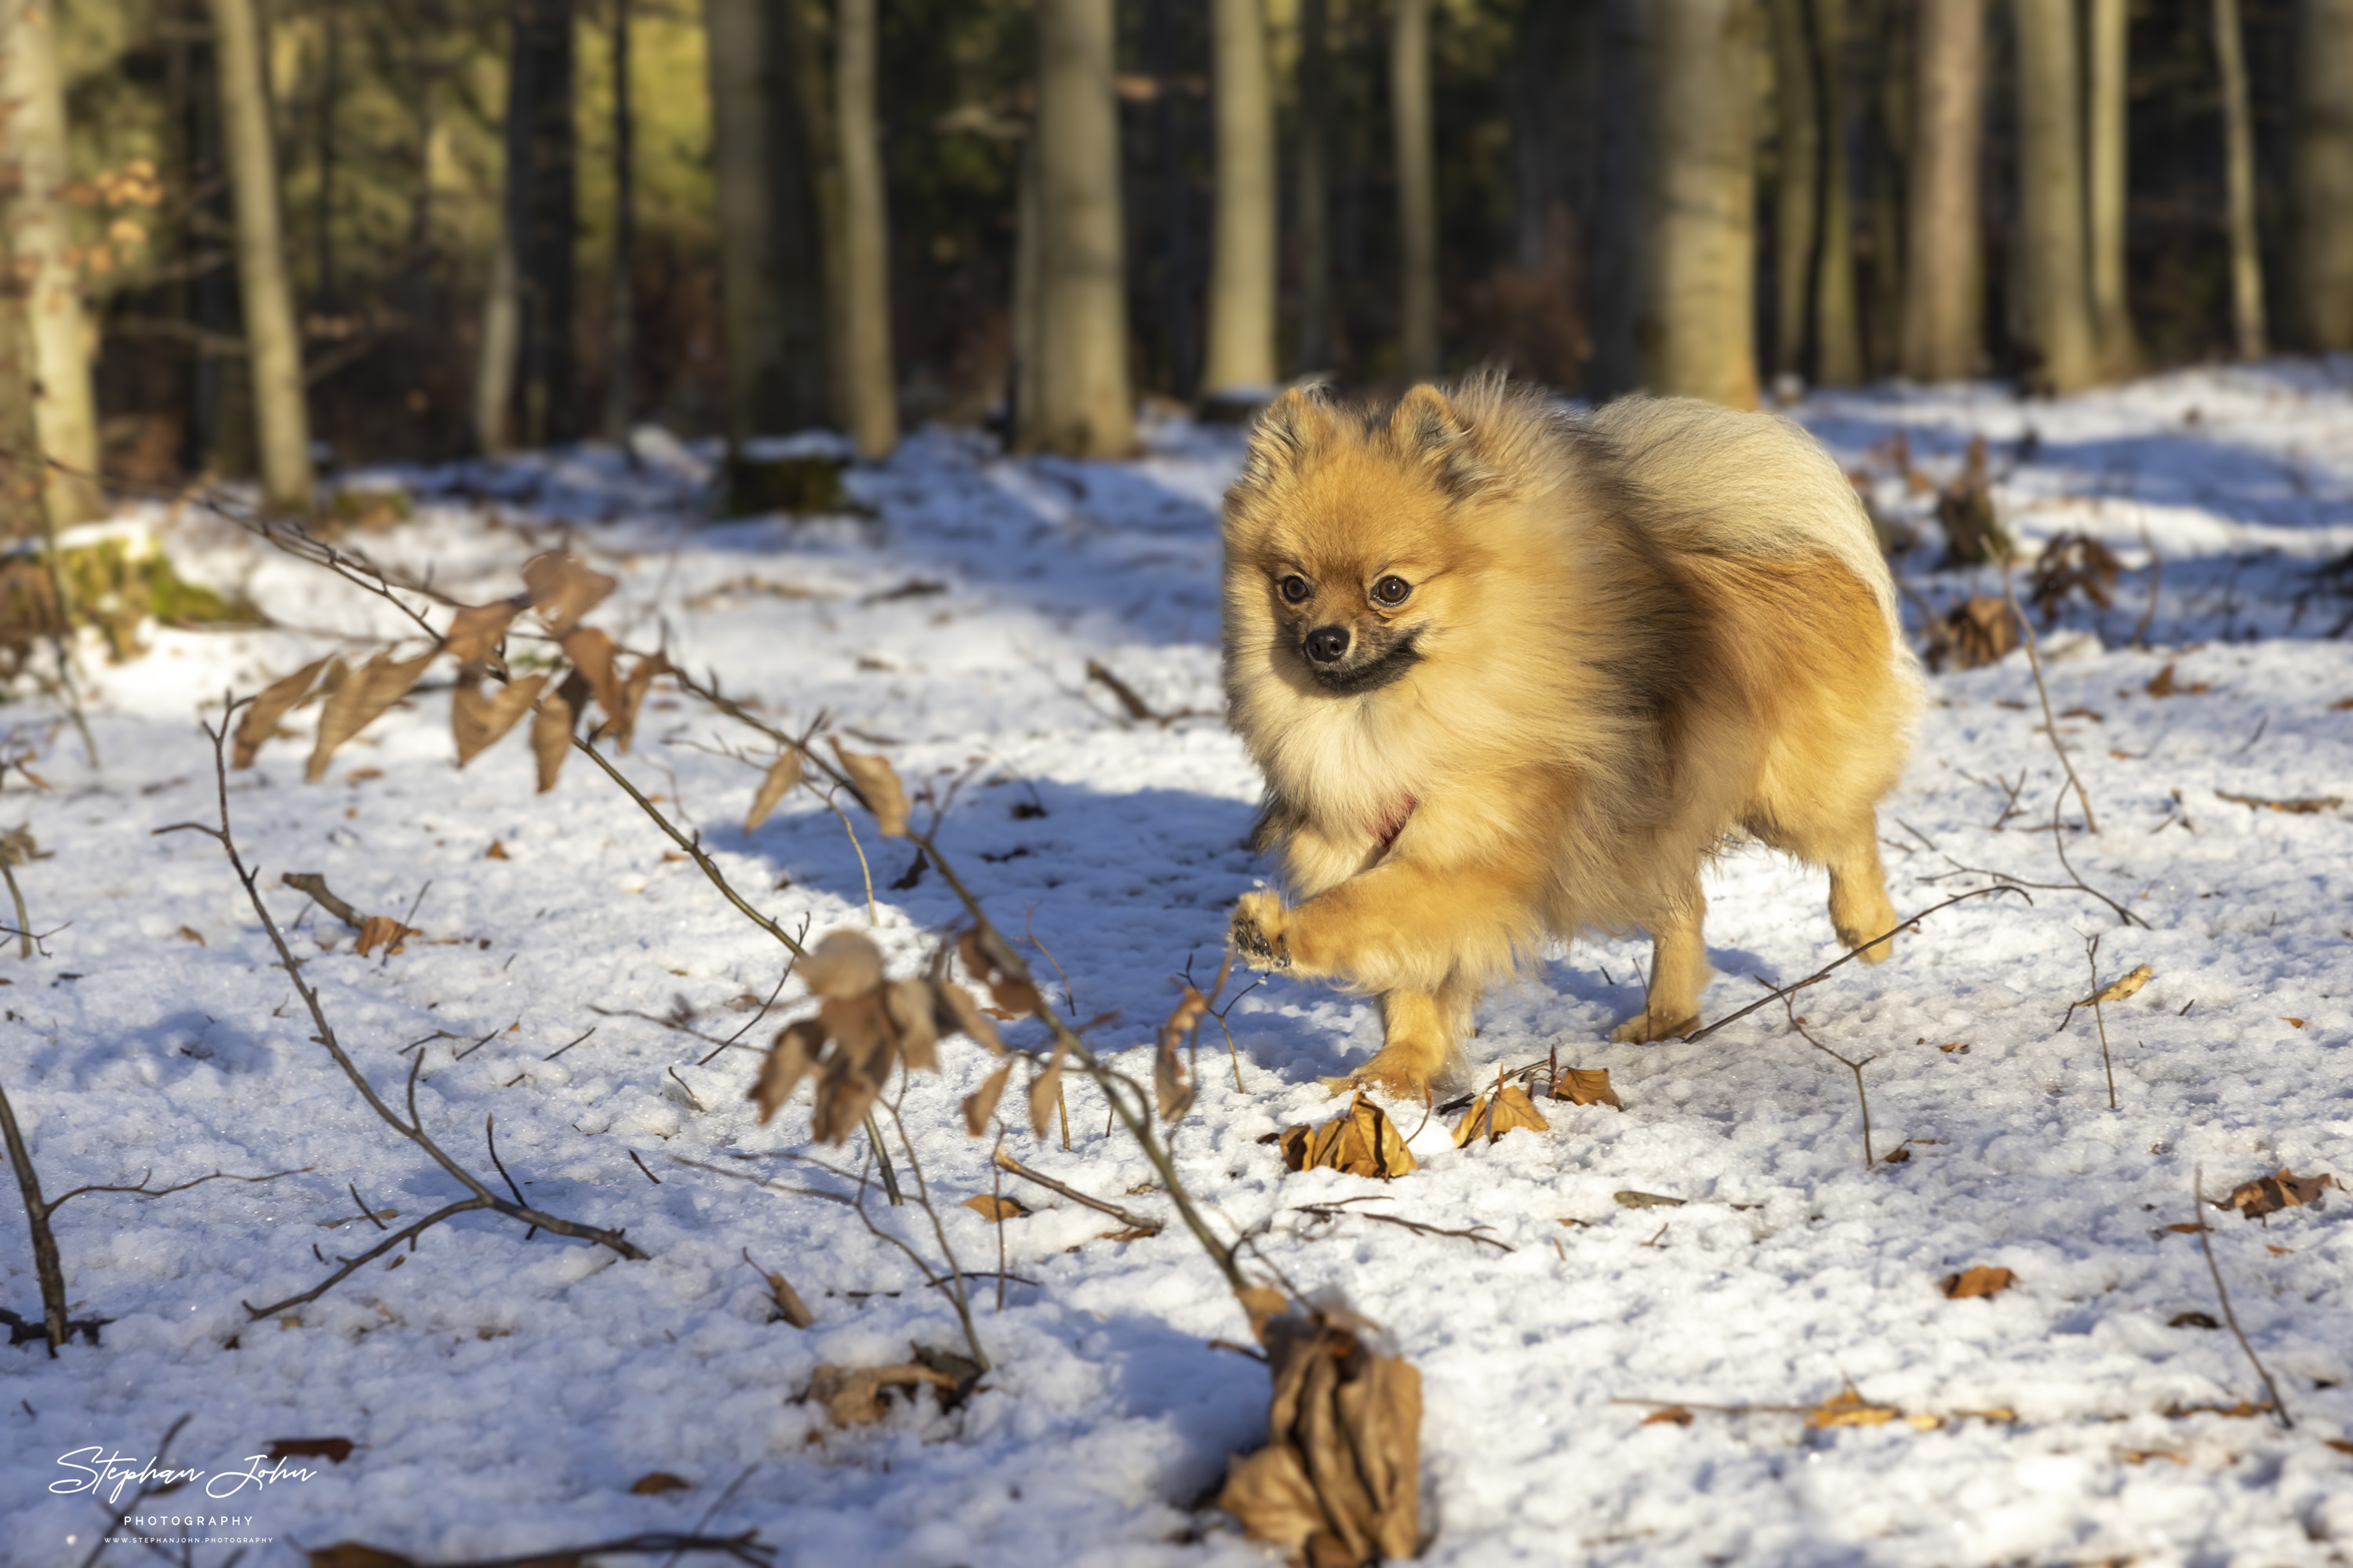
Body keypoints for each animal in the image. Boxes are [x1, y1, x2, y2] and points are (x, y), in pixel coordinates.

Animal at [1224, 372, 1920, 1092]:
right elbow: (1408, 984)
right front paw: (1392, 1074)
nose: (1325, 640)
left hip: (1787, 797)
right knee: (1686, 906)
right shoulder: (1358, 845)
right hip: (1657, 814)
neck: (1382, 720)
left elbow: (1361, 909)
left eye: (1391, 588)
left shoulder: (1467, 853)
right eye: (1294, 587)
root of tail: (1796, 549)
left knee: (1851, 829)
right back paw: (1667, 1015)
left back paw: (1869, 927)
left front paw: (1279, 934)